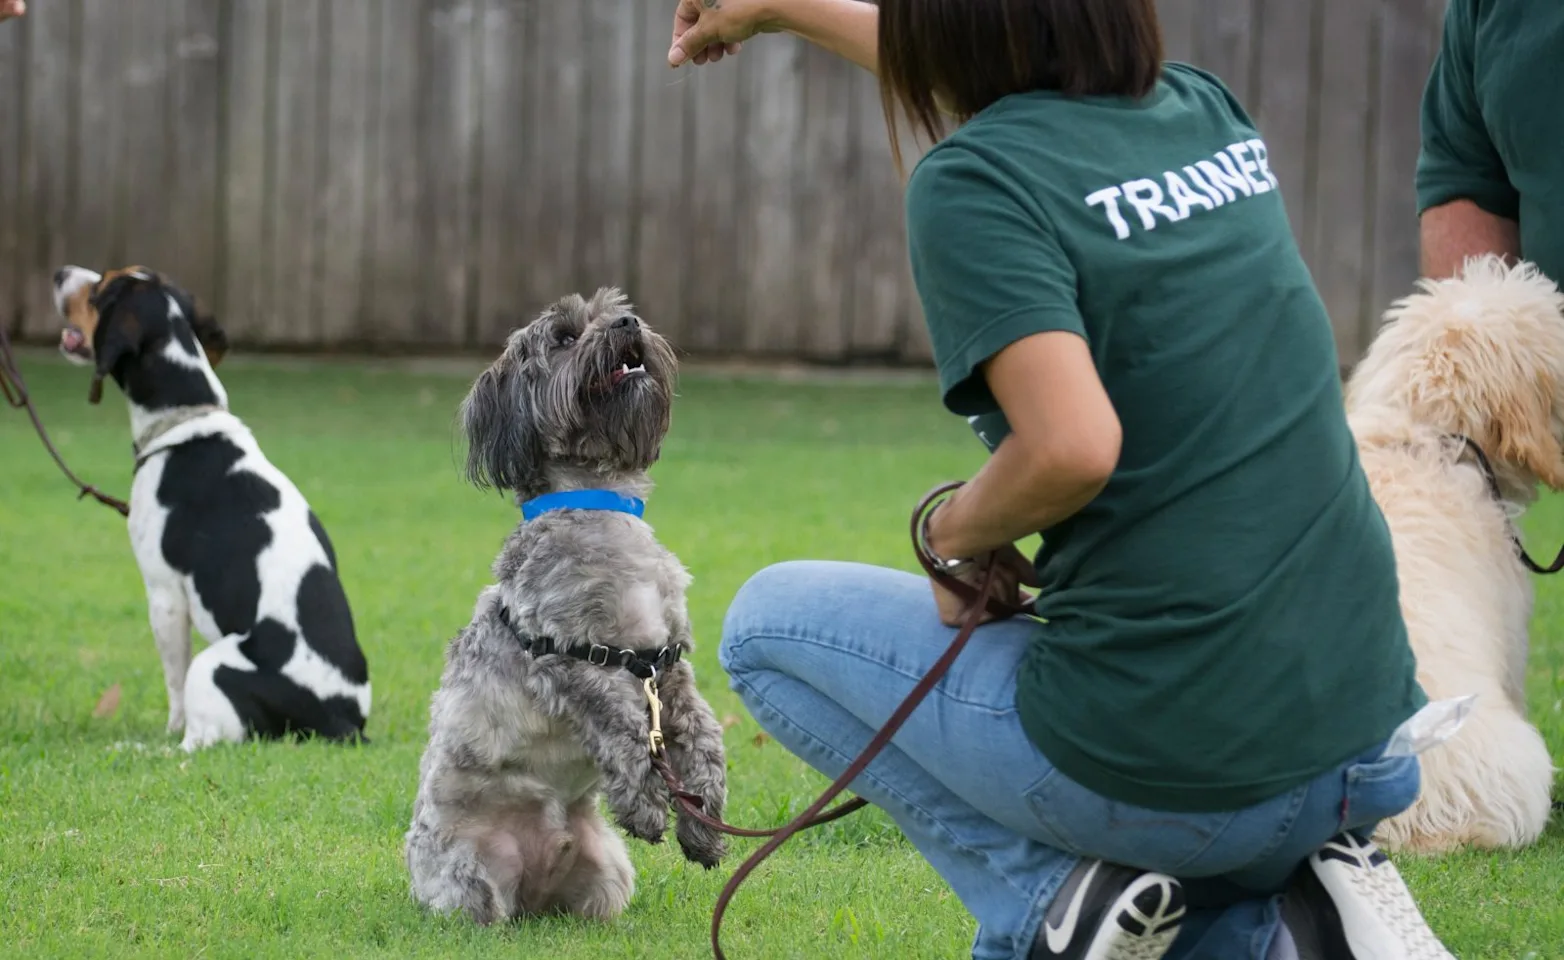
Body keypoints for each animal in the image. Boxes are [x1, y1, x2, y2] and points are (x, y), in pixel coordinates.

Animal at [52, 265, 372, 753]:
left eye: (100, 288)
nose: (59, 273)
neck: (186, 423)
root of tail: (345, 723)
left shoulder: (163, 594)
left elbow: (173, 685)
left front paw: (165, 728)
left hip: (212, 666)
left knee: (194, 741)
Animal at [400, 290, 722, 925]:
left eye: (616, 308)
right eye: (566, 338)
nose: (628, 322)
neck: (600, 506)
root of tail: (533, 890)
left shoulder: (668, 664)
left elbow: (703, 733)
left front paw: (704, 818)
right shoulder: (571, 659)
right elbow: (625, 729)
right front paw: (648, 802)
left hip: (607, 869)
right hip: (468, 876)